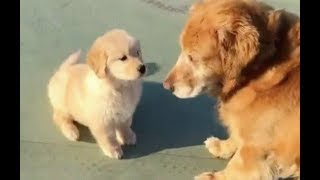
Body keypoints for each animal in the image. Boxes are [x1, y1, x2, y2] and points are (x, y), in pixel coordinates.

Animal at [47, 29, 145, 159]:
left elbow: (124, 126)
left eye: (138, 53)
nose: (143, 68)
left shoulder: (126, 113)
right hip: (63, 104)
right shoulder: (102, 120)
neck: (120, 86)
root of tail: (61, 70)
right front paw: (113, 149)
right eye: (123, 58)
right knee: (59, 117)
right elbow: (108, 137)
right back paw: (71, 131)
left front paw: (127, 136)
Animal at [165, 0, 300, 179]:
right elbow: (236, 136)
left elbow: (235, 165)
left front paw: (212, 176)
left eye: (193, 58)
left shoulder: (256, 148)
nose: (166, 86)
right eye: (182, 49)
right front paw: (222, 146)